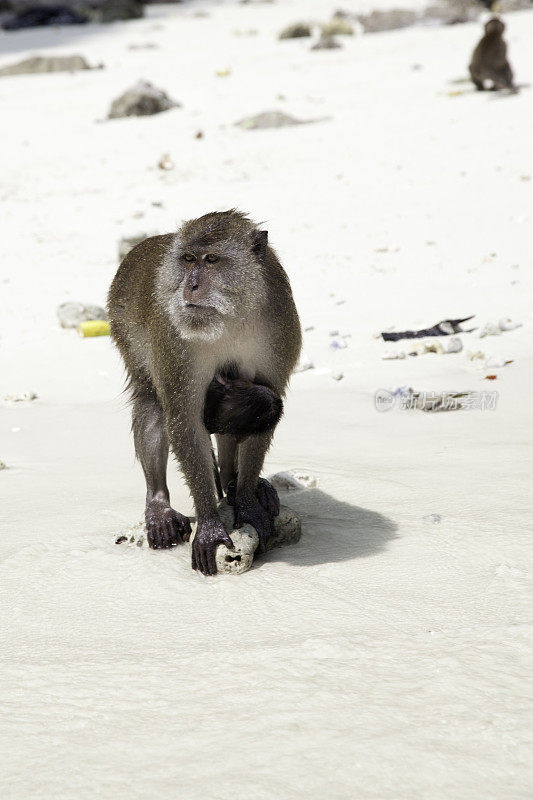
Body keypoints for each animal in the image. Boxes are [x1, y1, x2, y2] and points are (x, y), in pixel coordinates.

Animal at [107, 211, 300, 576]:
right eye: (187, 259)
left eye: (211, 260)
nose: (191, 285)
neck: (233, 317)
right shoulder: (175, 339)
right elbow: (184, 420)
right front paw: (210, 523)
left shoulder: (278, 329)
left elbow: (264, 408)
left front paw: (246, 500)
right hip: (123, 319)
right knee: (152, 404)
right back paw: (159, 505)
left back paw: (238, 484)